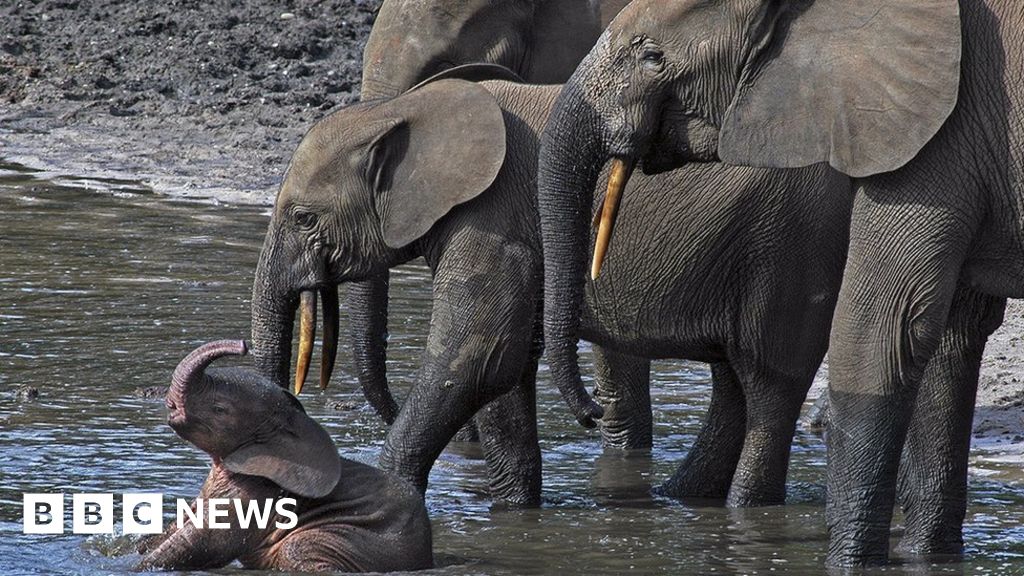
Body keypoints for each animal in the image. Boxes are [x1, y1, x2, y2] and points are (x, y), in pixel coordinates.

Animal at [251, 66, 851, 506]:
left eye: (304, 219)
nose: (590, 414)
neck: (406, 111)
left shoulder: (492, 219)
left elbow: (479, 357)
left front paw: (391, 495)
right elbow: (506, 368)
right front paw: (515, 512)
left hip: (791, 248)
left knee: (768, 380)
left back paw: (742, 508)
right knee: (733, 384)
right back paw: (678, 499)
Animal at [536, 0, 1015, 565]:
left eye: (653, 57)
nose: (590, 413)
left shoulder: (935, 134)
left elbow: (884, 326)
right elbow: (950, 333)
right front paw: (924, 560)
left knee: (769, 379)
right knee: (743, 379)